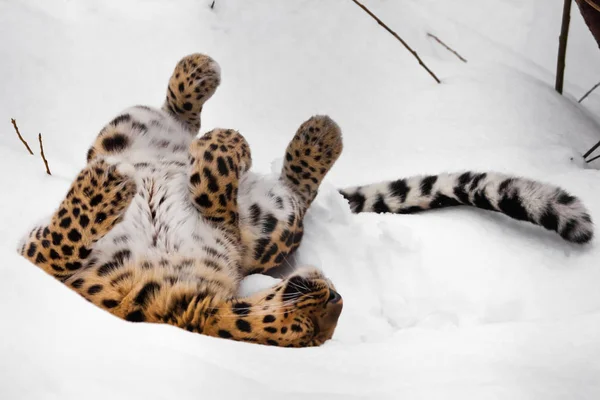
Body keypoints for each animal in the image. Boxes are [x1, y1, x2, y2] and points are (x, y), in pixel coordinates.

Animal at [17, 53, 592, 346]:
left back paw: (301, 126)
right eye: (306, 330)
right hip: (128, 132)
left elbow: (215, 195)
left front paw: (223, 150)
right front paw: (108, 189)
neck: (183, 312)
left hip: (264, 217)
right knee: (187, 124)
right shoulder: (40, 261)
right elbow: (56, 244)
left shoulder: (237, 240)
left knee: (292, 185)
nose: (336, 296)